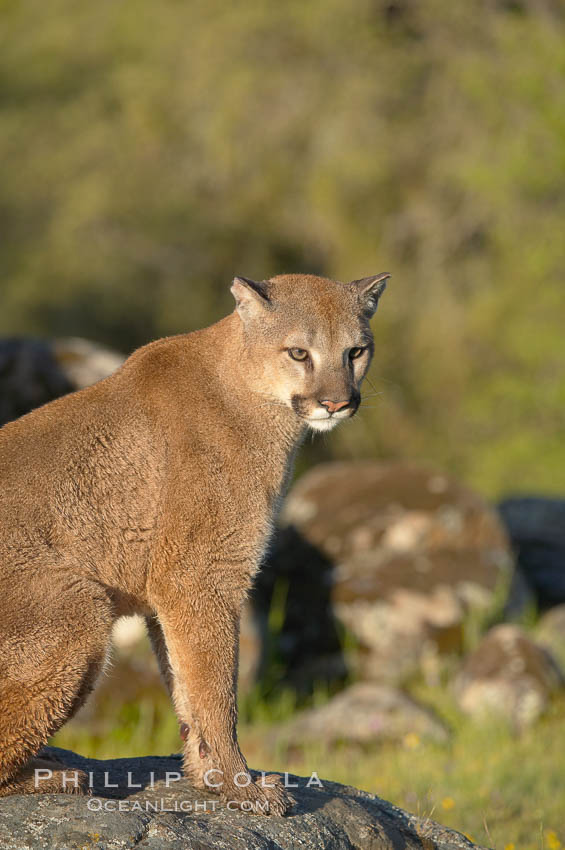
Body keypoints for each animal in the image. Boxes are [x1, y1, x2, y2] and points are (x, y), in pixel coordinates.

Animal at [0, 270, 388, 808]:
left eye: (355, 351)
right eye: (298, 353)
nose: (337, 402)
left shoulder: (173, 590)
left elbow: (187, 689)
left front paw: (209, 778)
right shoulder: (201, 575)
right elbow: (217, 691)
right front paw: (242, 787)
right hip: (76, 608)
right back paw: (54, 776)